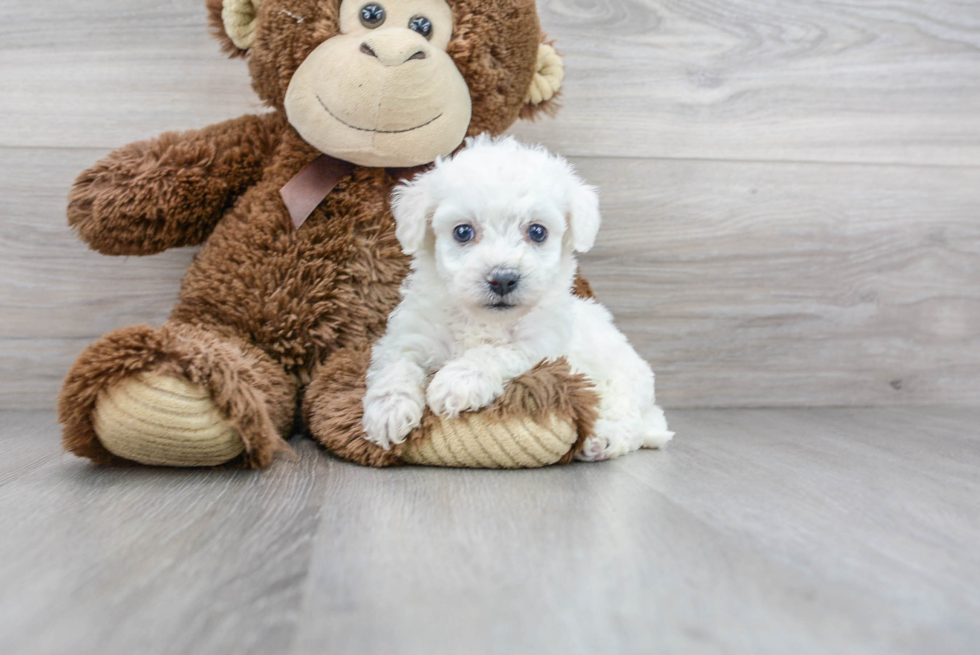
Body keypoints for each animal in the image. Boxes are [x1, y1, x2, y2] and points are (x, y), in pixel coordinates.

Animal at [362, 135, 672, 458]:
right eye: (462, 232)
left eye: (537, 232)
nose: (503, 278)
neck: (483, 319)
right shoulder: (408, 336)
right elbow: (396, 364)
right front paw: (389, 410)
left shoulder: (543, 346)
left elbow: (497, 352)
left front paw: (458, 381)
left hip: (622, 378)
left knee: (627, 418)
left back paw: (604, 438)